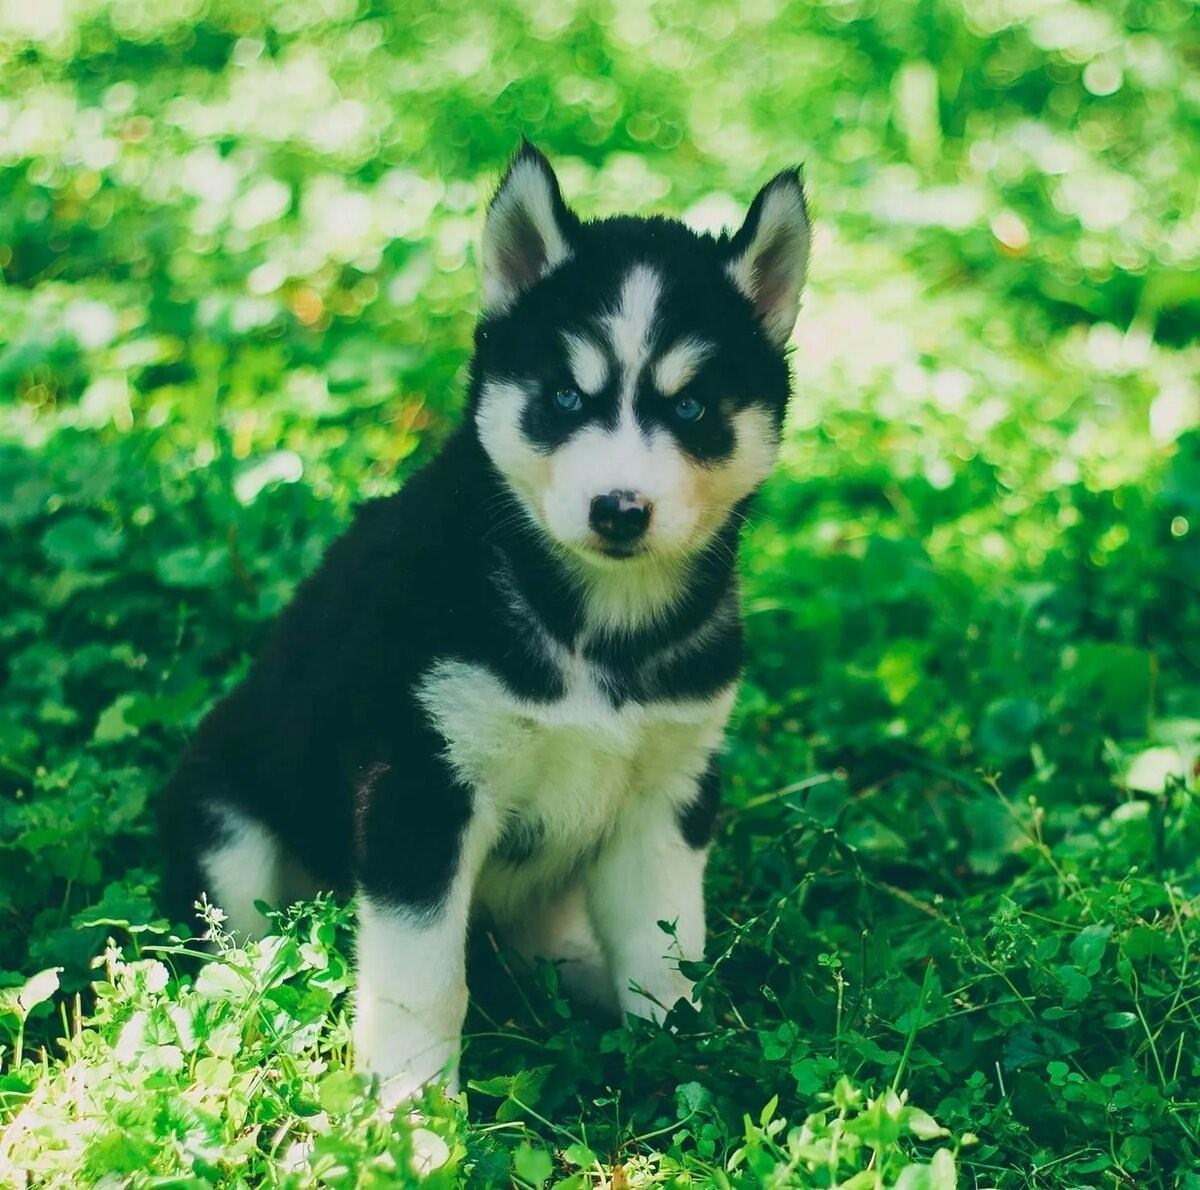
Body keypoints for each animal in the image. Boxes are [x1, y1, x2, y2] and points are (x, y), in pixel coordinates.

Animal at [159, 141, 811, 1108]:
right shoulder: (419, 787)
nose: (620, 510)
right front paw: (409, 1107)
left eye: (690, 408)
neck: (596, 632)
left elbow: (664, 949)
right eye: (565, 399)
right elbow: (425, 978)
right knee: (241, 951)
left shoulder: (668, 795)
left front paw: (677, 1061)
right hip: (226, 824)